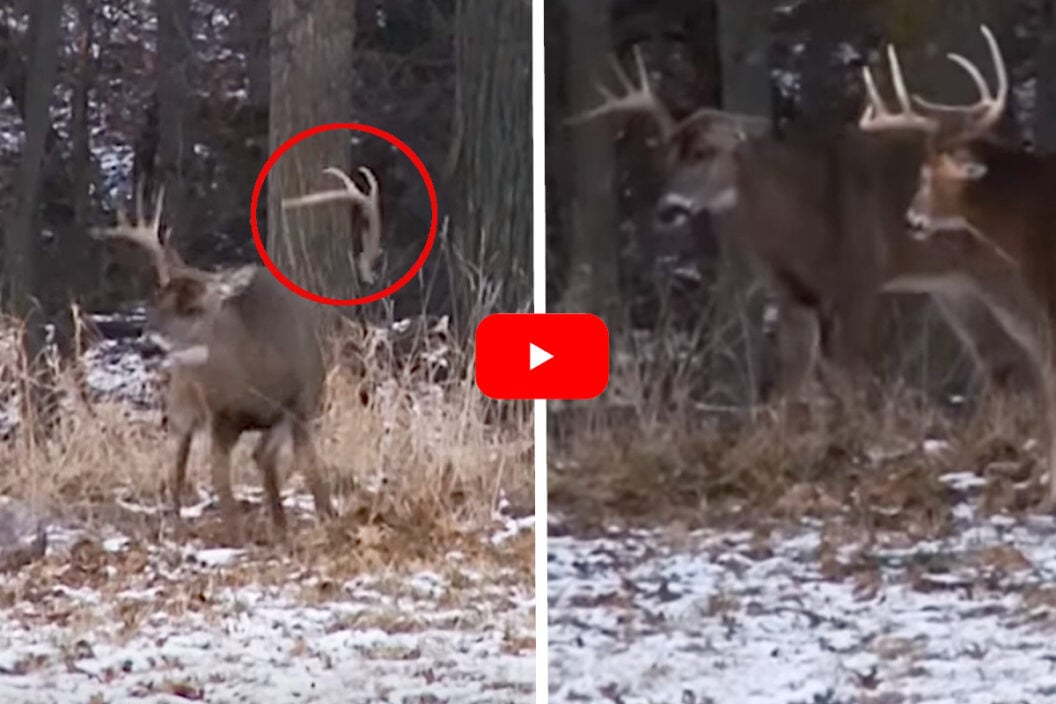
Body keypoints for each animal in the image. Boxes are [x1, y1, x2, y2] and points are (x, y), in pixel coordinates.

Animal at [90, 165, 382, 544]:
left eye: (195, 308)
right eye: (157, 302)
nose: (147, 345)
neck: (260, 370)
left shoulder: (302, 402)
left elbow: (303, 467)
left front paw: (313, 518)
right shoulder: (221, 416)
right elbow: (222, 479)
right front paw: (238, 534)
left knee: (255, 457)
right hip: (182, 400)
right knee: (177, 462)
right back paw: (176, 521)